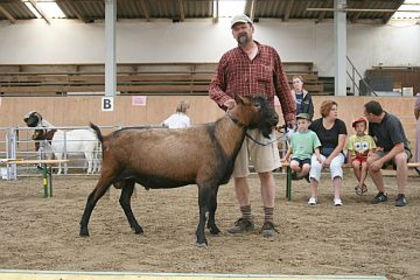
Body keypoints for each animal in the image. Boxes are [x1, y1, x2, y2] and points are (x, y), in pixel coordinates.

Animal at [80, 96, 278, 247]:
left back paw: (138, 228)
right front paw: (201, 239)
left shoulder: (213, 181)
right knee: (92, 198)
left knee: (124, 201)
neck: (220, 137)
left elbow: (213, 205)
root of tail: (106, 138)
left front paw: (214, 229)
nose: (276, 118)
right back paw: (83, 230)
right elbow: (203, 208)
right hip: (109, 172)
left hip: (130, 177)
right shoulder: (205, 180)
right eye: (257, 104)